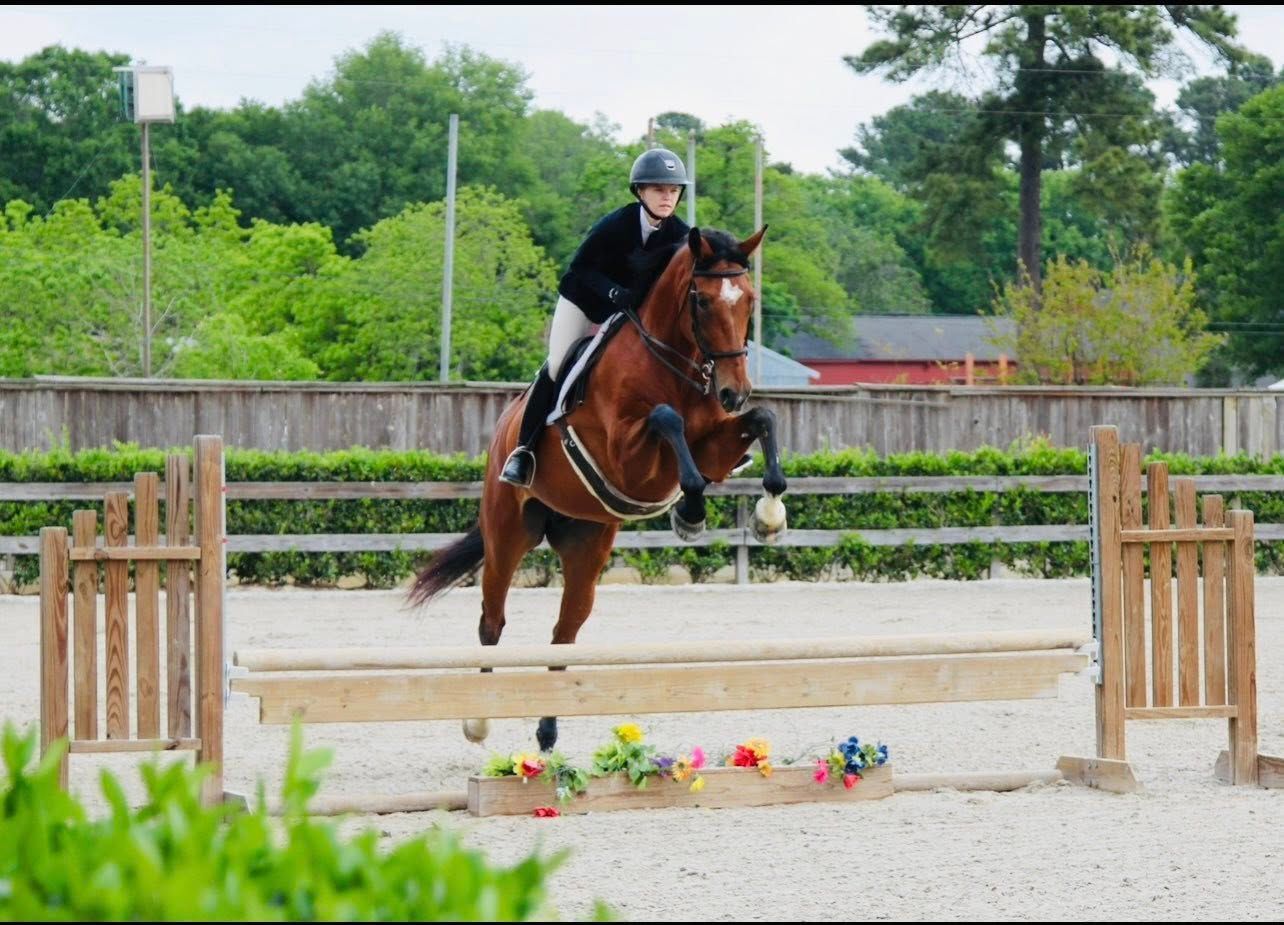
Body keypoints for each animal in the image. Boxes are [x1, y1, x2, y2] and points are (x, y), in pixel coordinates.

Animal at [407, 225, 788, 751]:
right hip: (507, 535)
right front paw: (690, 516)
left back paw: (548, 733)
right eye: (702, 300)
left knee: (564, 631)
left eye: (748, 299)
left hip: (586, 542)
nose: (734, 391)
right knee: (492, 622)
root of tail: (502, 432)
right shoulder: (629, 459)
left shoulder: (714, 445)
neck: (673, 361)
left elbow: (763, 420)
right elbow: (666, 421)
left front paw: (769, 516)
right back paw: (479, 720)